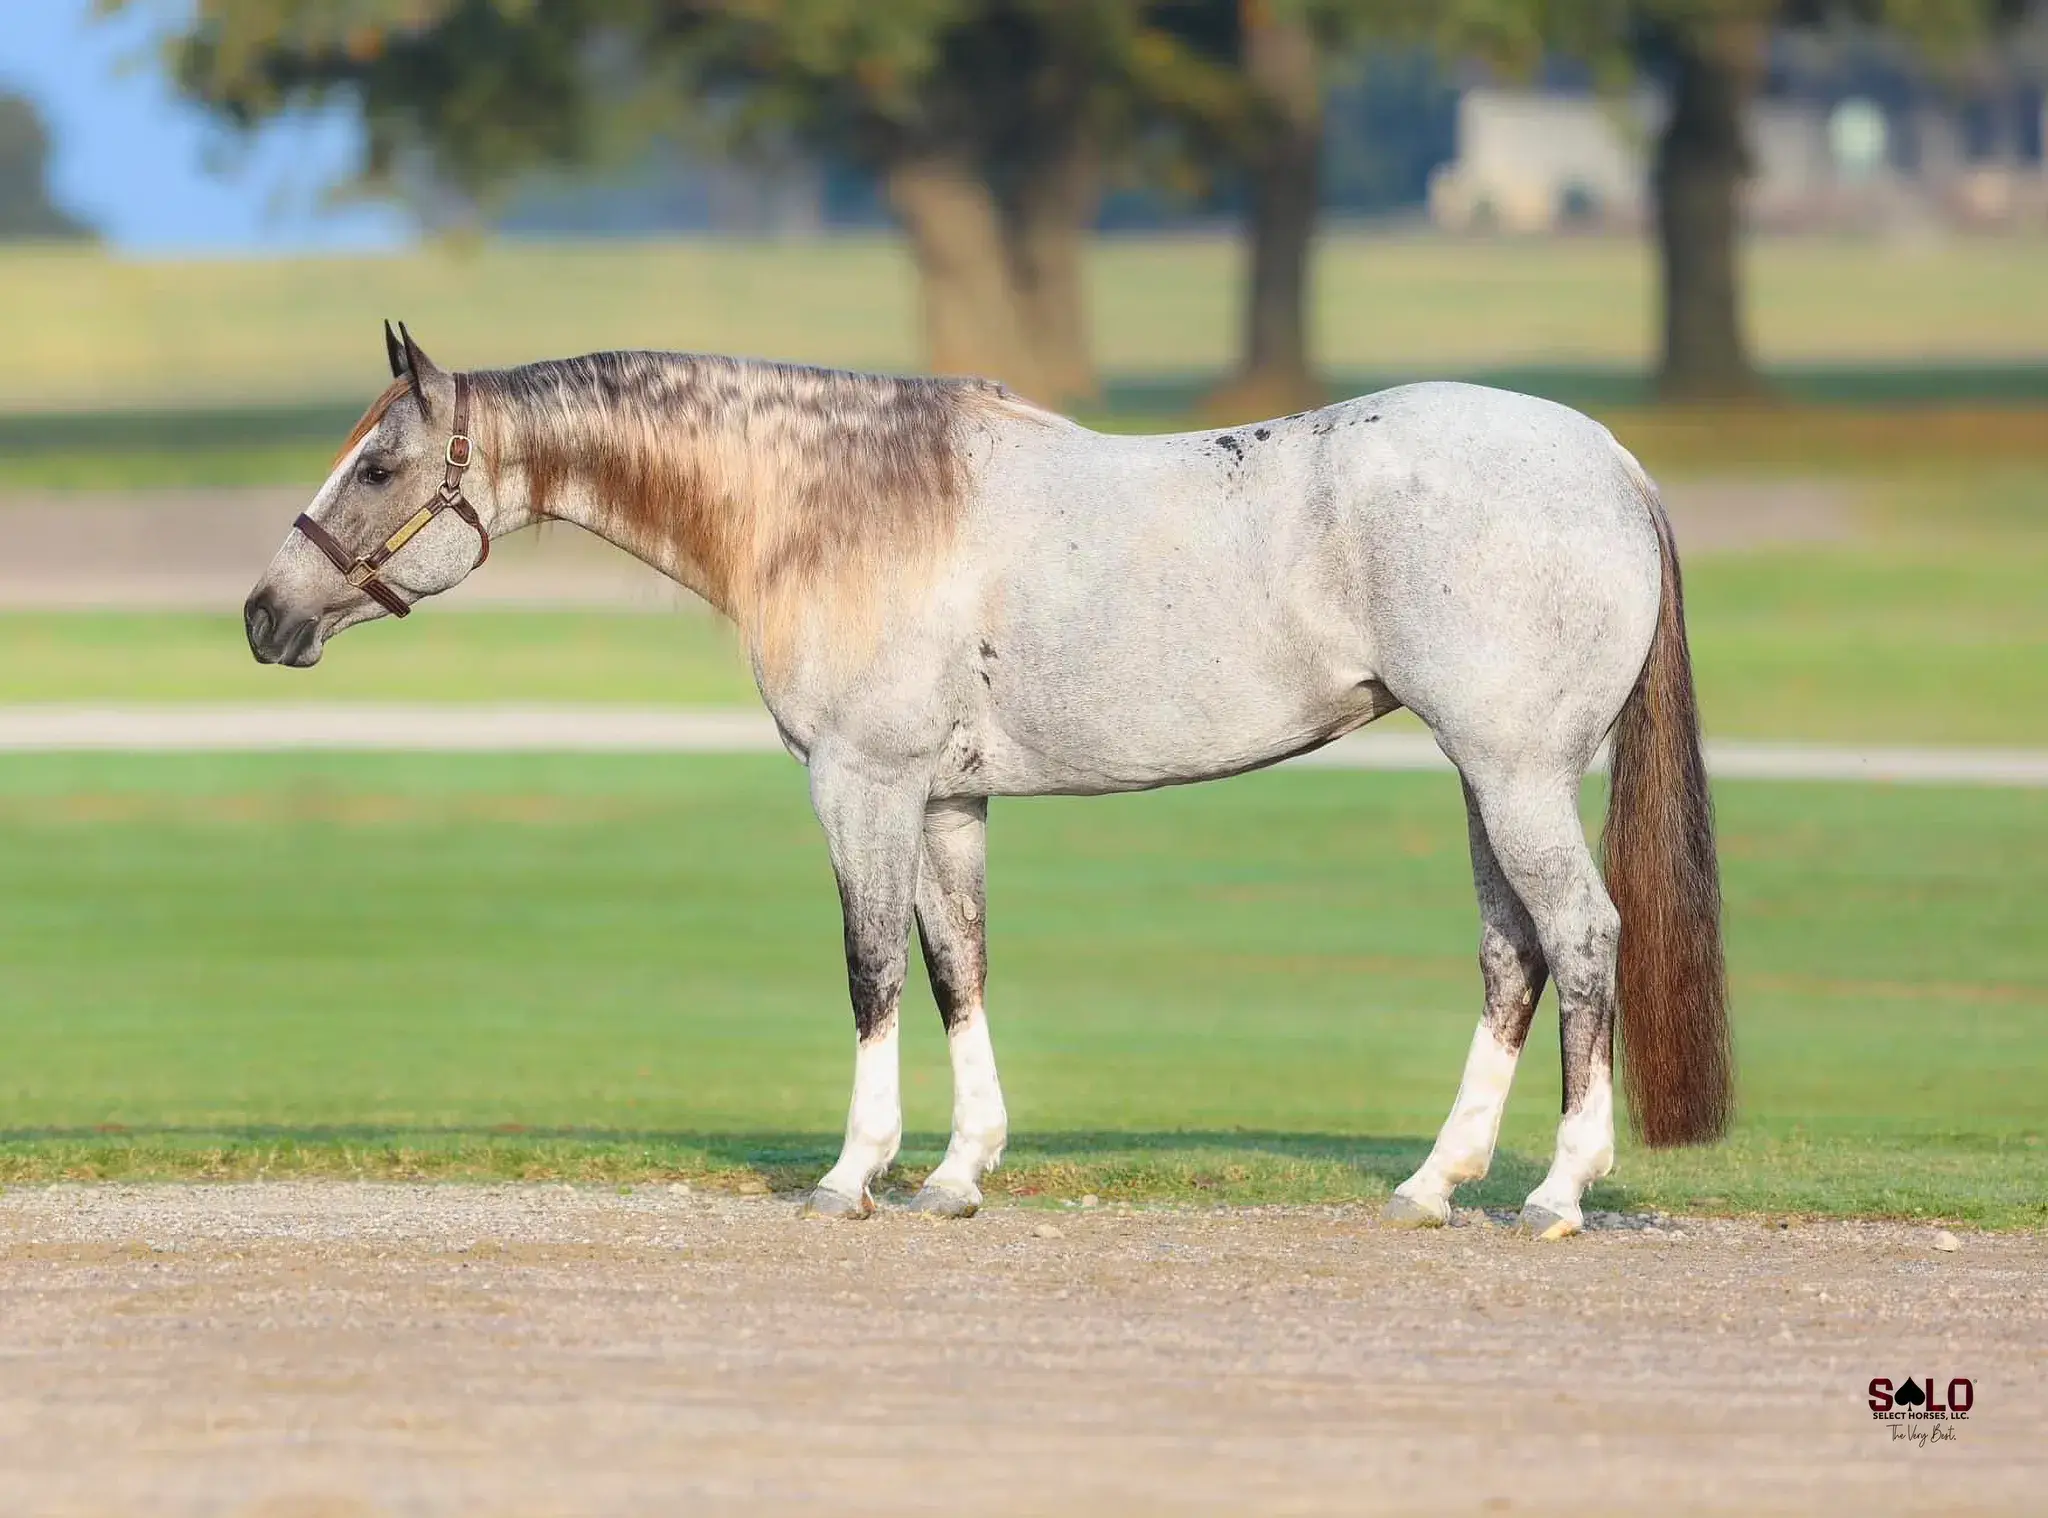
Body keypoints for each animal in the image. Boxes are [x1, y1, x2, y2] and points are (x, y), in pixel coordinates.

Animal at [244, 322, 1731, 1238]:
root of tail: (1610, 464)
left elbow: (869, 972)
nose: (266, 615)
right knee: (1511, 955)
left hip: (1516, 775)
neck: (831, 506)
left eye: (380, 462)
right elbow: (956, 966)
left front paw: (853, 1173)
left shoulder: (860, 787)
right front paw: (957, 1175)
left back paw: (1557, 1191)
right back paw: (1433, 1183)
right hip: (1487, 779)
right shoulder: (947, 801)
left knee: (1581, 939)